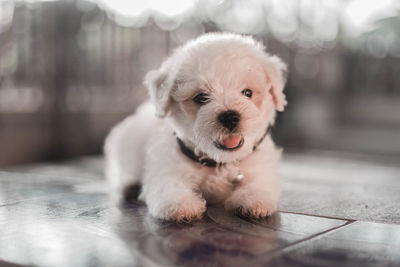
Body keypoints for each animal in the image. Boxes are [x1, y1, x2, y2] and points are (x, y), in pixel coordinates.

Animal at [105, 32, 288, 223]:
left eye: (247, 93)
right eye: (201, 98)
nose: (230, 117)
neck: (218, 162)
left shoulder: (260, 165)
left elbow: (259, 183)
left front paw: (252, 199)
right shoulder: (166, 165)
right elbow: (167, 184)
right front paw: (180, 203)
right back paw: (128, 184)